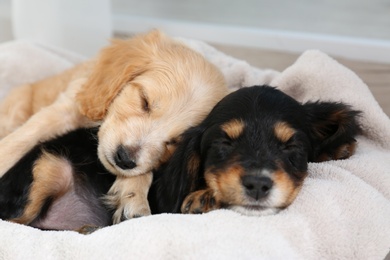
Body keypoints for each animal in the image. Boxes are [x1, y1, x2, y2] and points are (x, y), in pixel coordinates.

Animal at [0, 30, 229, 223]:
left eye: (174, 142)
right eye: (144, 101)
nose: (124, 159)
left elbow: (143, 171)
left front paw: (134, 197)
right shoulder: (63, 109)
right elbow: (18, 142)